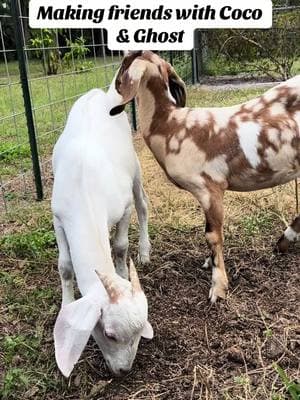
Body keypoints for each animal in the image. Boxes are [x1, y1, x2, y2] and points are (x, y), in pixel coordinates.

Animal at [51, 79, 152, 376]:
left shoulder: (123, 208)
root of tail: (101, 93)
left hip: (135, 166)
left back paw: (144, 251)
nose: (124, 370)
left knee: (143, 205)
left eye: (139, 332)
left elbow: (120, 246)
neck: (84, 187)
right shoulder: (58, 218)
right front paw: (66, 303)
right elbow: (65, 266)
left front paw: (122, 270)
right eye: (108, 334)